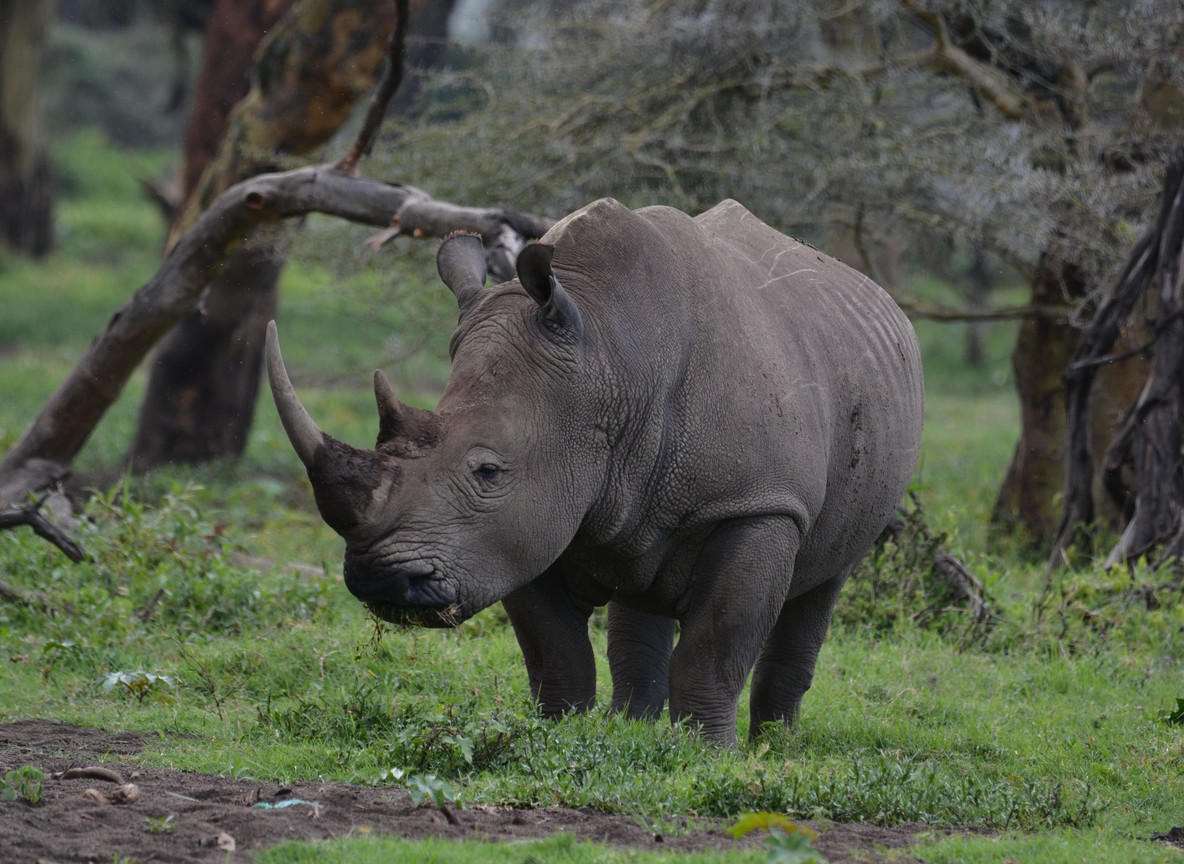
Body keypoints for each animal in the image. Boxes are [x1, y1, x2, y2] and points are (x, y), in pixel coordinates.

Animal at [266, 198, 923, 745]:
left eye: (488, 471)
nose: (380, 581)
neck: (609, 359)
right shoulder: (523, 522)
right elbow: (555, 653)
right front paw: (559, 736)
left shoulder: (758, 503)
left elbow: (716, 648)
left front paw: (707, 755)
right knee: (642, 575)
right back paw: (631, 729)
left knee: (822, 584)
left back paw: (772, 748)